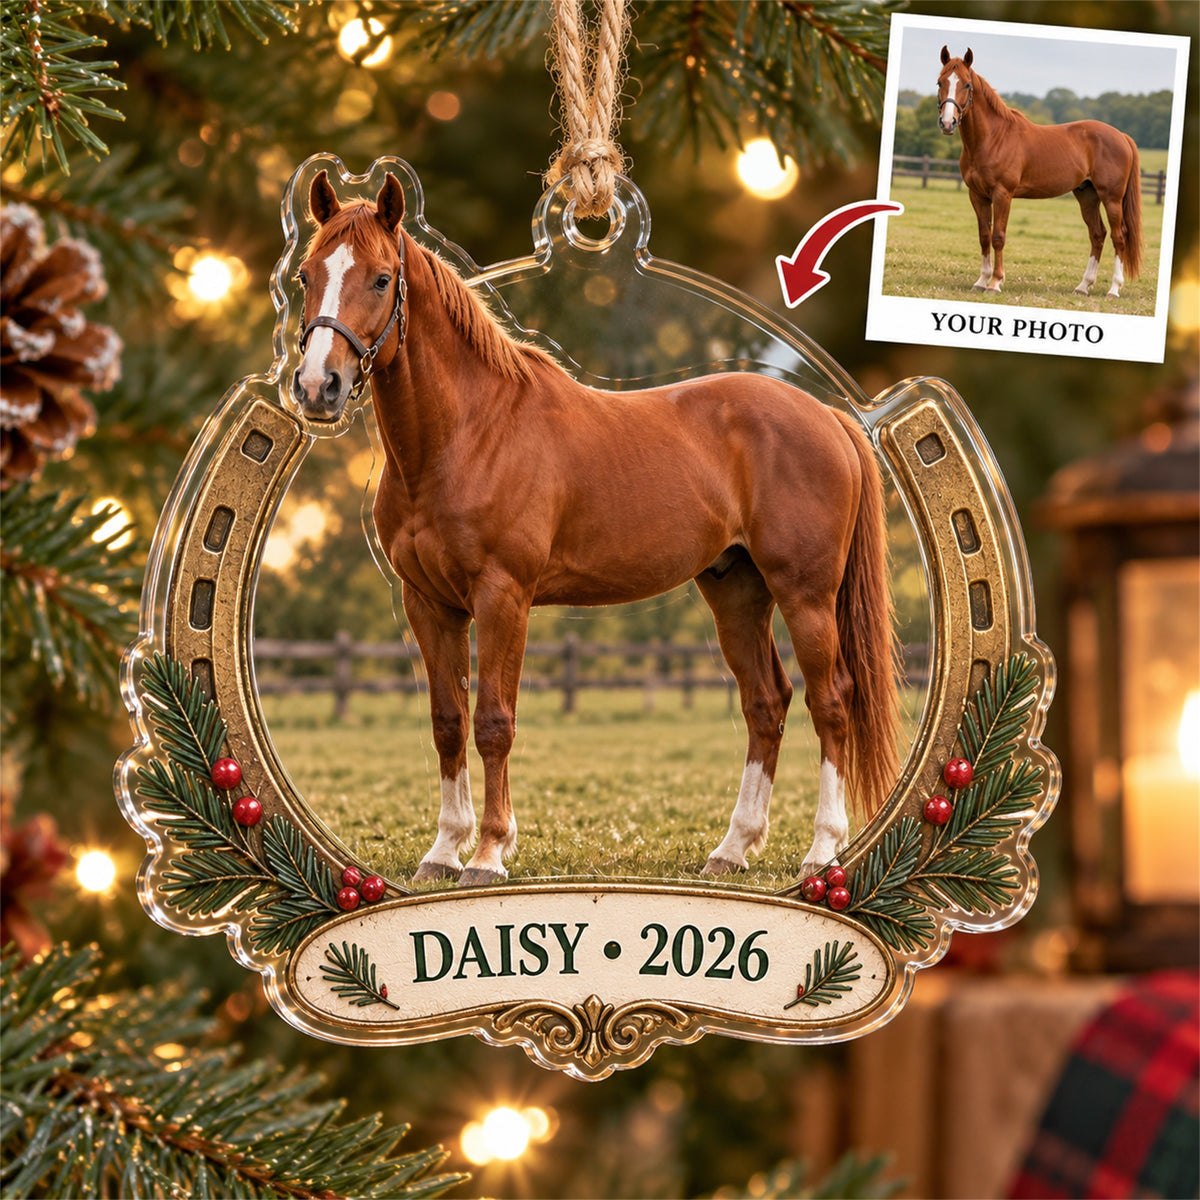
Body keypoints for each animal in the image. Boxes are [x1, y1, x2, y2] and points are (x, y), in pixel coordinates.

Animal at [291, 171, 899, 887]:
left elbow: (493, 722)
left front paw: (489, 853)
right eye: (306, 275)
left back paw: (822, 850)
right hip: (736, 591)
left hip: (805, 595)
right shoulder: (430, 604)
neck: (468, 432)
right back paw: (732, 848)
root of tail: (829, 416)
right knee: (766, 703)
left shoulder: (503, 597)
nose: (318, 386)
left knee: (830, 702)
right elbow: (447, 721)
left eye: (382, 278)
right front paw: (443, 852)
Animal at [936, 47, 1143, 298]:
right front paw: (981, 281)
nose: (948, 123)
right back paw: (1083, 286)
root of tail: (1121, 136)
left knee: (1119, 236)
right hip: (1087, 195)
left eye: (966, 84)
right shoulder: (977, 195)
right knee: (1097, 235)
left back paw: (1113, 289)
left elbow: (998, 237)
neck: (993, 138)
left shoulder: (1002, 194)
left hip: (1111, 198)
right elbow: (984, 237)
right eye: (940, 82)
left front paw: (995, 282)